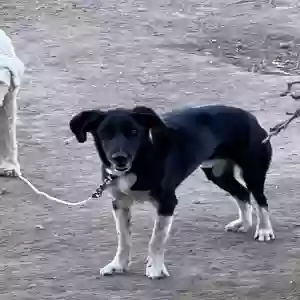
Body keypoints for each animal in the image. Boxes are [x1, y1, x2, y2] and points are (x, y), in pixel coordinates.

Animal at [69, 105, 274, 278]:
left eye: (134, 132)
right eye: (105, 133)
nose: (119, 158)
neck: (140, 162)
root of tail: (249, 116)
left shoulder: (167, 202)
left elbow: (156, 240)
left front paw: (155, 268)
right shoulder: (120, 204)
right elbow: (124, 239)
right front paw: (118, 265)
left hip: (253, 171)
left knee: (260, 199)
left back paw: (264, 230)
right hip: (217, 174)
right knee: (242, 193)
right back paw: (243, 223)